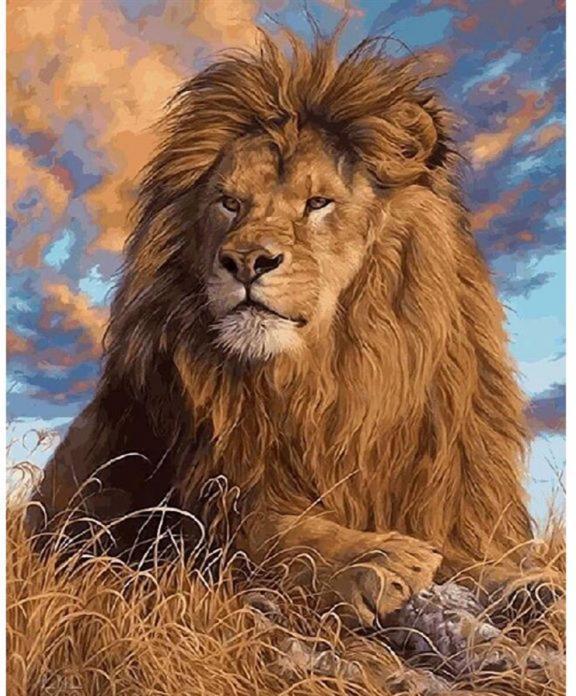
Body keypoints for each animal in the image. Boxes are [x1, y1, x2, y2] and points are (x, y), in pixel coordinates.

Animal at [29, 32, 534, 627]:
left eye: (318, 203)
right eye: (229, 202)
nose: (247, 260)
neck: (326, 379)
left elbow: (474, 552)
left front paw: (524, 582)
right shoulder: (199, 508)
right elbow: (281, 533)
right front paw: (375, 558)